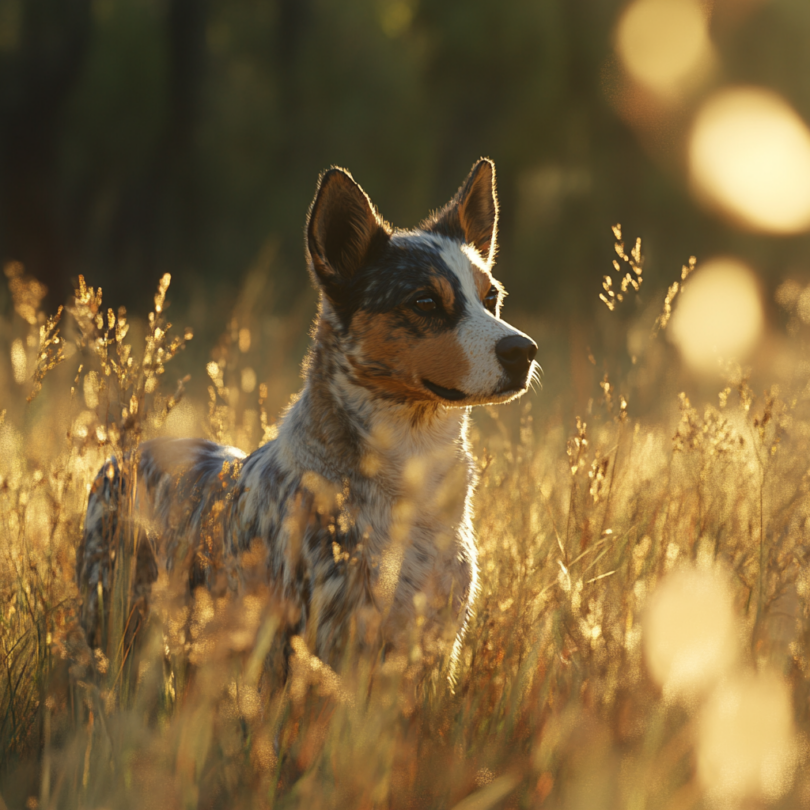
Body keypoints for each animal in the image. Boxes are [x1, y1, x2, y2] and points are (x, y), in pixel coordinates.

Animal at [76, 158, 536, 676]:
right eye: (425, 302)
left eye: (491, 297)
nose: (524, 351)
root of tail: (126, 454)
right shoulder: (317, 645)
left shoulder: (433, 647)